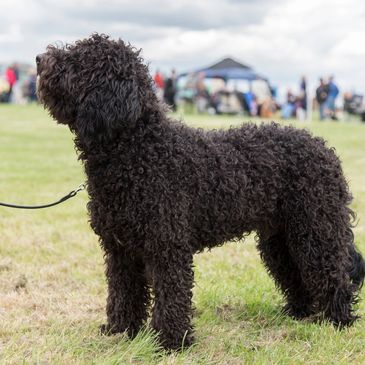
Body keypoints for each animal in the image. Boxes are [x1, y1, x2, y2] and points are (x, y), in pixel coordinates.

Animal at [37, 34, 364, 350]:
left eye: (79, 61)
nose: (39, 58)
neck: (138, 149)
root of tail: (325, 151)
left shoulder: (167, 246)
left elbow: (171, 295)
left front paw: (171, 341)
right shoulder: (120, 250)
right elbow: (123, 292)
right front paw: (121, 330)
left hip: (316, 229)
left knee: (333, 275)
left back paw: (339, 319)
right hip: (280, 238)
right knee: (295, 275)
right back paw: (299, 312)